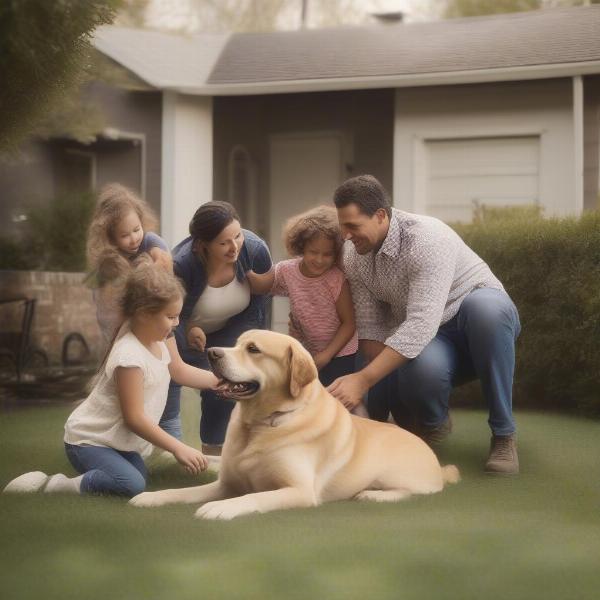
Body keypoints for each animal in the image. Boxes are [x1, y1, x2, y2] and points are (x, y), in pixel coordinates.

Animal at [130, 330, 460, 516]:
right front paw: (151, 497)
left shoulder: (298, 490)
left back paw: (373, 494)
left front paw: (220, 508)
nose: (212, 352)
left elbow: (253, 497)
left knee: (414, 492)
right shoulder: (226, 483)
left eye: (253, 349)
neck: (259, 423)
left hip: (398, 473)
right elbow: (183, 492)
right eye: (236, 344)